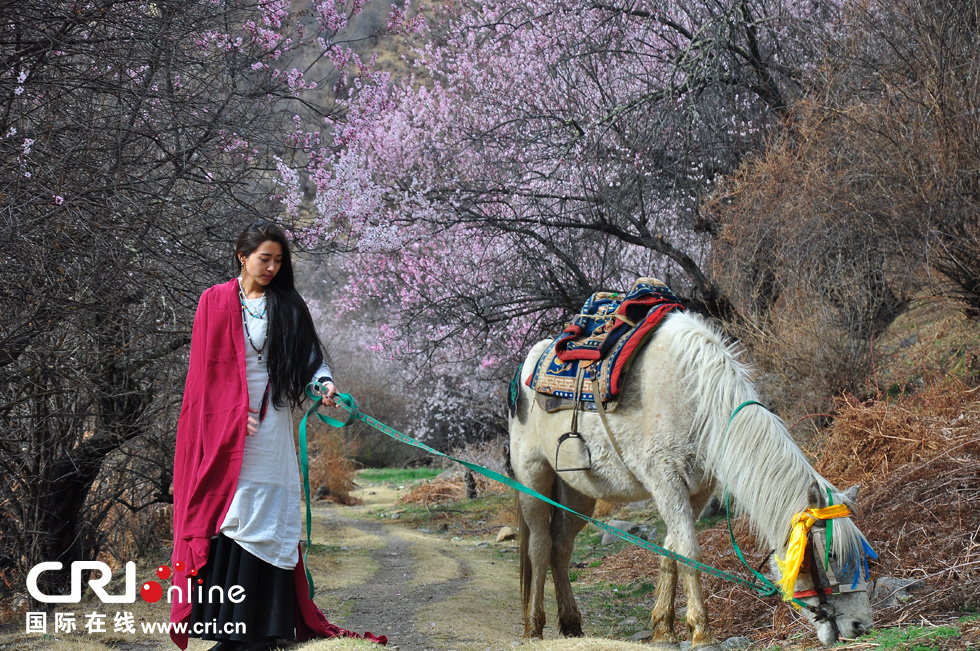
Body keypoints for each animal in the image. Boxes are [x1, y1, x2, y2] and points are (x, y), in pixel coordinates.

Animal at [510, 310, 876, 648]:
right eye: (831, 556)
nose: (861, 626)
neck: (697, 398)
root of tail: (525, 368)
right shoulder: (666, 482)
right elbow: (689, 552)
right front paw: (702, 632)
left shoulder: (698, 491)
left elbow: (672, 549)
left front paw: (664, 629)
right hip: (532, 479)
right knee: (540, 546)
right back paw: (533, 626)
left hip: (577, 495)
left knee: (561, 546)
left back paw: (571, 623)